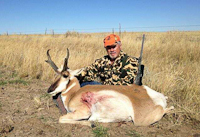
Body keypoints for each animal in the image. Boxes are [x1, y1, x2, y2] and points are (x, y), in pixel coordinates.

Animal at [45, 48, 173, 127]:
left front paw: (90, 123)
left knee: (165, 110)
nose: (49, 90)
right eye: (56, 75)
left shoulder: (84, 112)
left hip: (140, 120)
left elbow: (60, 119)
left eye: (65, 75)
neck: (73, 94)